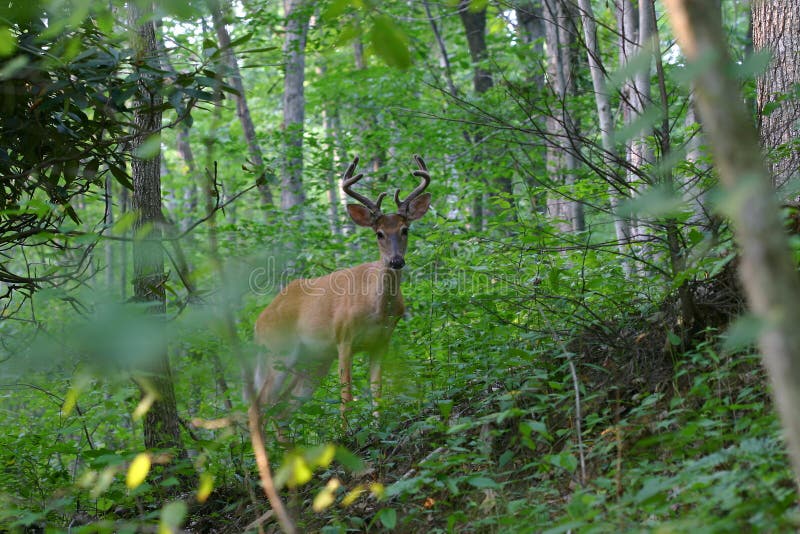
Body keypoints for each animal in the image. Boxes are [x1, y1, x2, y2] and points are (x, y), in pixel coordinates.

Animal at [255, 155, 432, 428]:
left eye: (405, 230)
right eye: (379, 233)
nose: (396, 261)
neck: (376, 310)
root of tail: (259, 321)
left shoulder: (381, 342)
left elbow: (377, 391)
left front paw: (377, 427)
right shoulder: (343, 339)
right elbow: (346, 395)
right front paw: (347, 432)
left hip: (312, 362)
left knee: (282, 408)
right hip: (279, 351)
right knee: (262, 403)